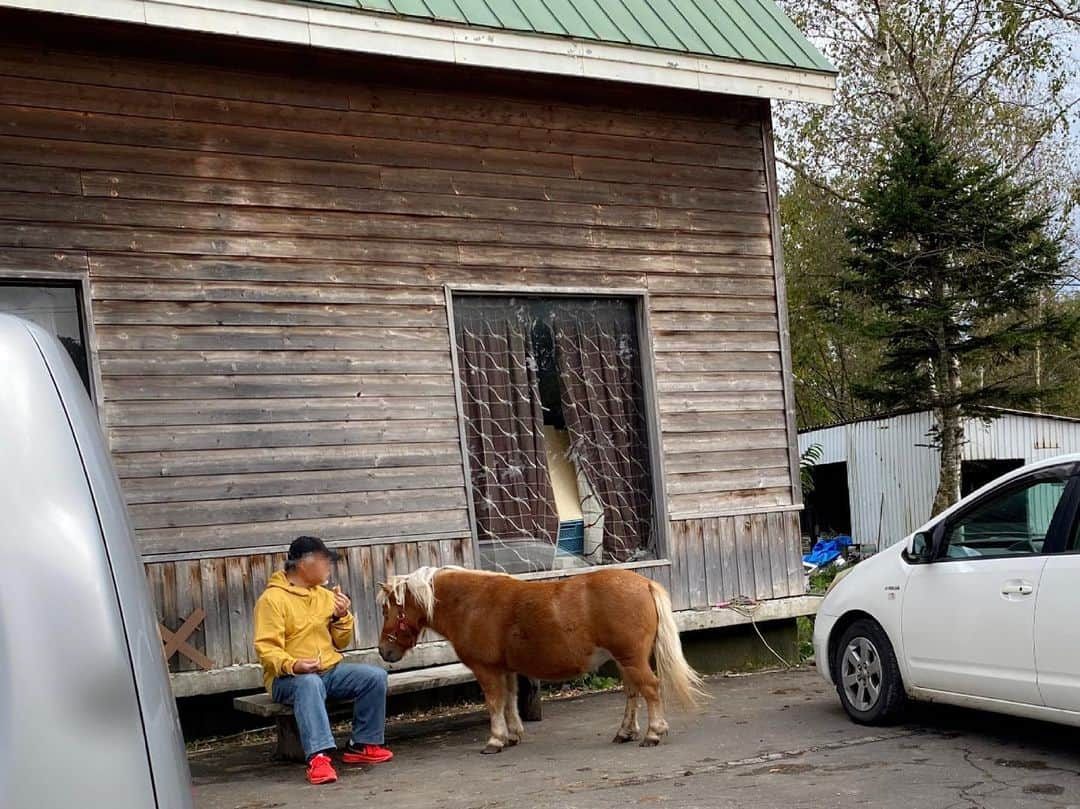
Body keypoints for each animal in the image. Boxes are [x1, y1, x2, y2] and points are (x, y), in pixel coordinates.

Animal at [375, 565, 704, 756]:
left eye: (388, 609)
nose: (383, 651)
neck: (472, 603)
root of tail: (645, 583)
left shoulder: (486, 670)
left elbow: (494, 703)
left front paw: (495, 740)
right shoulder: (504, 669)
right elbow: (509, 701)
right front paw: (513, 735)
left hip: (631, 658)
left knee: (650, 689)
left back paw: (653, 733)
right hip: (626, 661)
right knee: (633, 693)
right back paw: (625, 732)